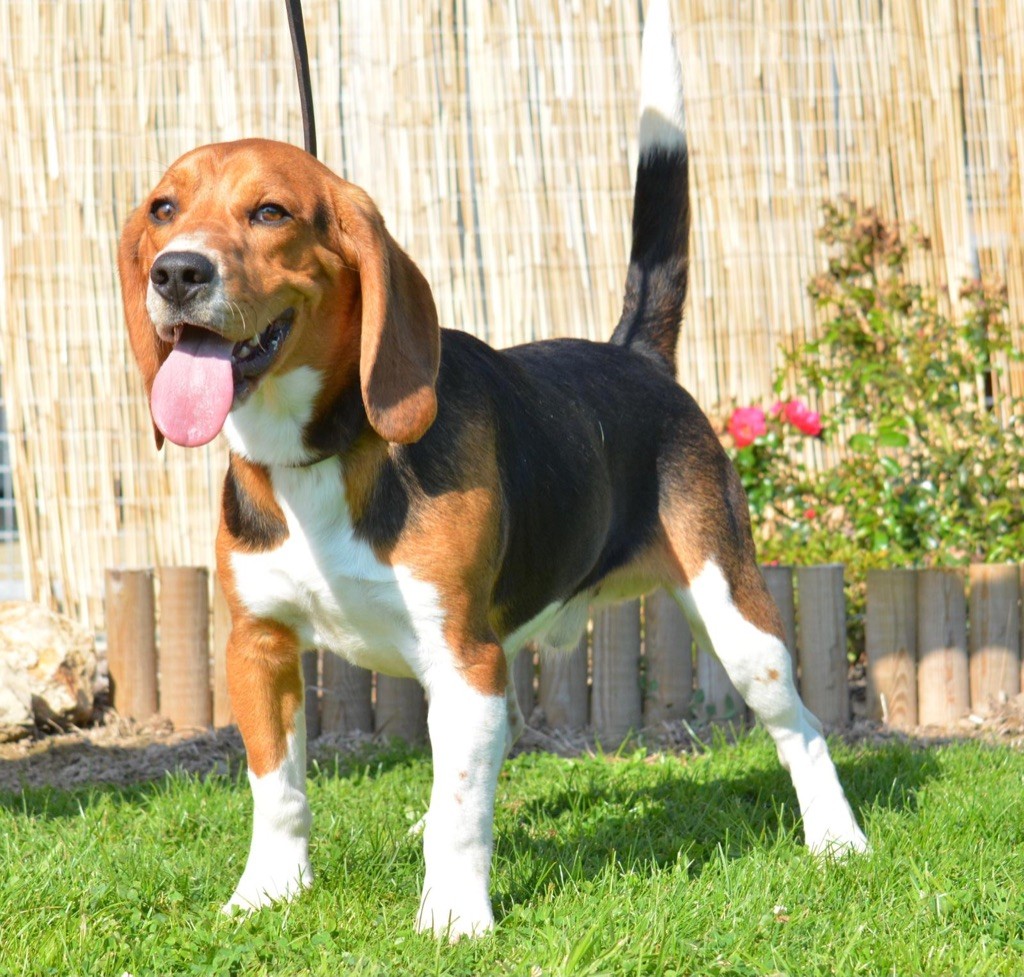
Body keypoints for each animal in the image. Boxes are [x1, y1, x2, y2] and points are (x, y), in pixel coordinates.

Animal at [116, 3, 864, 942]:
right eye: (163, 207)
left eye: (271, 211)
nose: (176, 271)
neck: (325, 451)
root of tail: (635, 354)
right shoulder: (258, 644)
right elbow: (277, 790)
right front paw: (267, 892)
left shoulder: (465, 660)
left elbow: (465, 809)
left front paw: (453, 915)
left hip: (737, 619)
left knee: (801, 726)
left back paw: (837, 837)